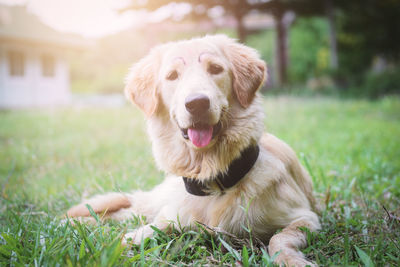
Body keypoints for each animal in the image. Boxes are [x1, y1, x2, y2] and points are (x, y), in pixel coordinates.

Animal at [67, 35, 320, 267]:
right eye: (172, 75)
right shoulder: (171, 216)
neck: (213, 180)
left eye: (215, 69)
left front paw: (291, 260)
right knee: (125, 211)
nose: (197, 103)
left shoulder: (306, 218)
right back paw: (75, 223)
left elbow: (279, 239)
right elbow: (136, 234)